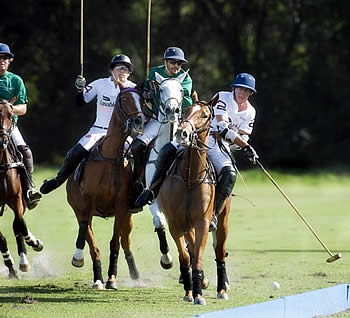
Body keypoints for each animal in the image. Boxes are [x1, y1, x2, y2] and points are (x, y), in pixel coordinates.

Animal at [66, 85, 144, 290]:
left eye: (141, 99)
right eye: (124, 99)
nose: (139, 121)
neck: (110, 156)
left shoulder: (121, 207)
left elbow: (115, 243)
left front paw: (111, 279)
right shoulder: (84, 207)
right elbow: (91, 244)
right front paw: (96, 276)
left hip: (128, 217)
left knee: (125, 242)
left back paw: (135, 275)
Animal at [158, 100, 230, 304]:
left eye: (205, 115)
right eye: (187, 111)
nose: (182, 132)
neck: (190, 176)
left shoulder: (202, 223)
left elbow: (197, 257)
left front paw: (198, 294)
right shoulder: (175, 224)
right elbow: (185, 257)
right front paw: (190, 292)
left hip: (222, 219)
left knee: (219, 251)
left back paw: (222, 289)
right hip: (186, 225)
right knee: (190, 248)